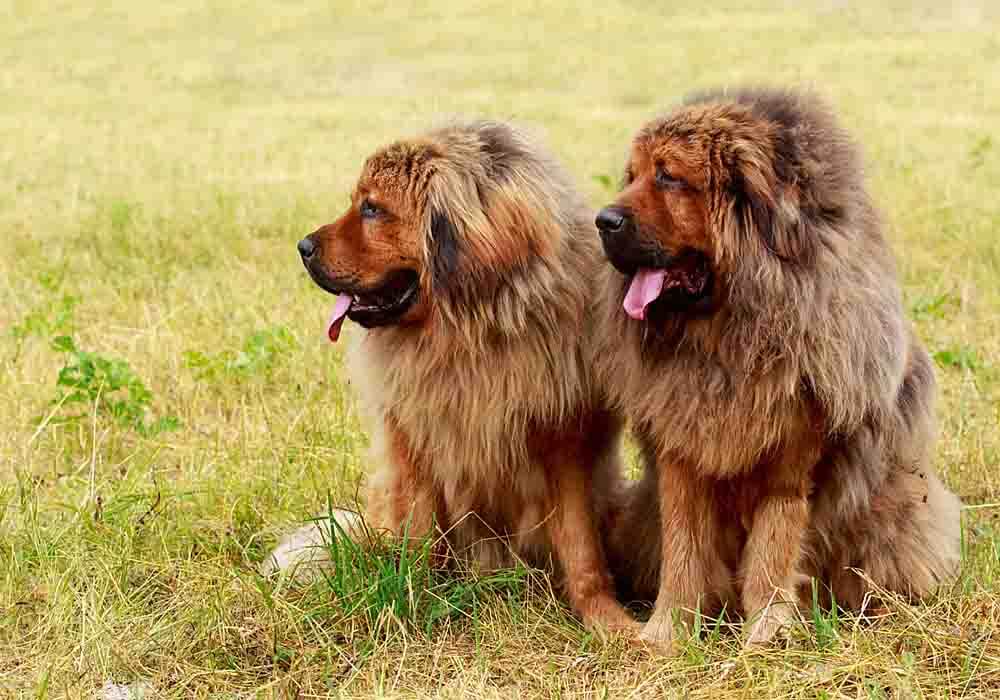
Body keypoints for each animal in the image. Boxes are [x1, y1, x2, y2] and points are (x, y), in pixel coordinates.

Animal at [264, 119, 640, 636]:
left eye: (372, 208)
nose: (302, 248)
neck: (471, 333)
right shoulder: (416, 442)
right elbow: (420, 537)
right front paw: (410, 601)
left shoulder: (567, 445)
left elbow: (582, 551)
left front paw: (610, 622)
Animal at [592, 89, 960, 652]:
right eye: (631, 176)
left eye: (669, 177)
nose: (601, 220)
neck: (728, 338)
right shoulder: (682, 450)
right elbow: (683, 549)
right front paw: (668, 631)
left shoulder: (794, 458)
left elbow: (774, 547)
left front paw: (766, 632)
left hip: (893, 506)